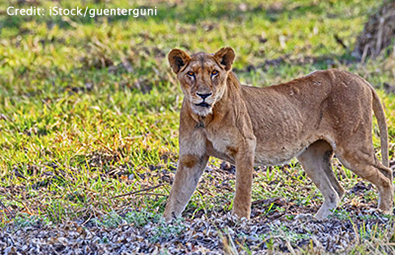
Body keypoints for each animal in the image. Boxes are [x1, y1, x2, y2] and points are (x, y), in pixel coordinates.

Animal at [163, 47, 392, 221]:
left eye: (214, 73)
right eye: (191, 74)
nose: (204, 94)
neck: (205, 118)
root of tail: (361, 79)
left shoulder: (246, 146)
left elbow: (242, 192)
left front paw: (238, 222)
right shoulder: (192, 157)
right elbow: (177, 194)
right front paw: (166, 223)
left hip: (352, 149)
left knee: (386, 175)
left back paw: (383, 212)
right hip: (311, 156)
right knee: (336, 191)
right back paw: (315, 220)